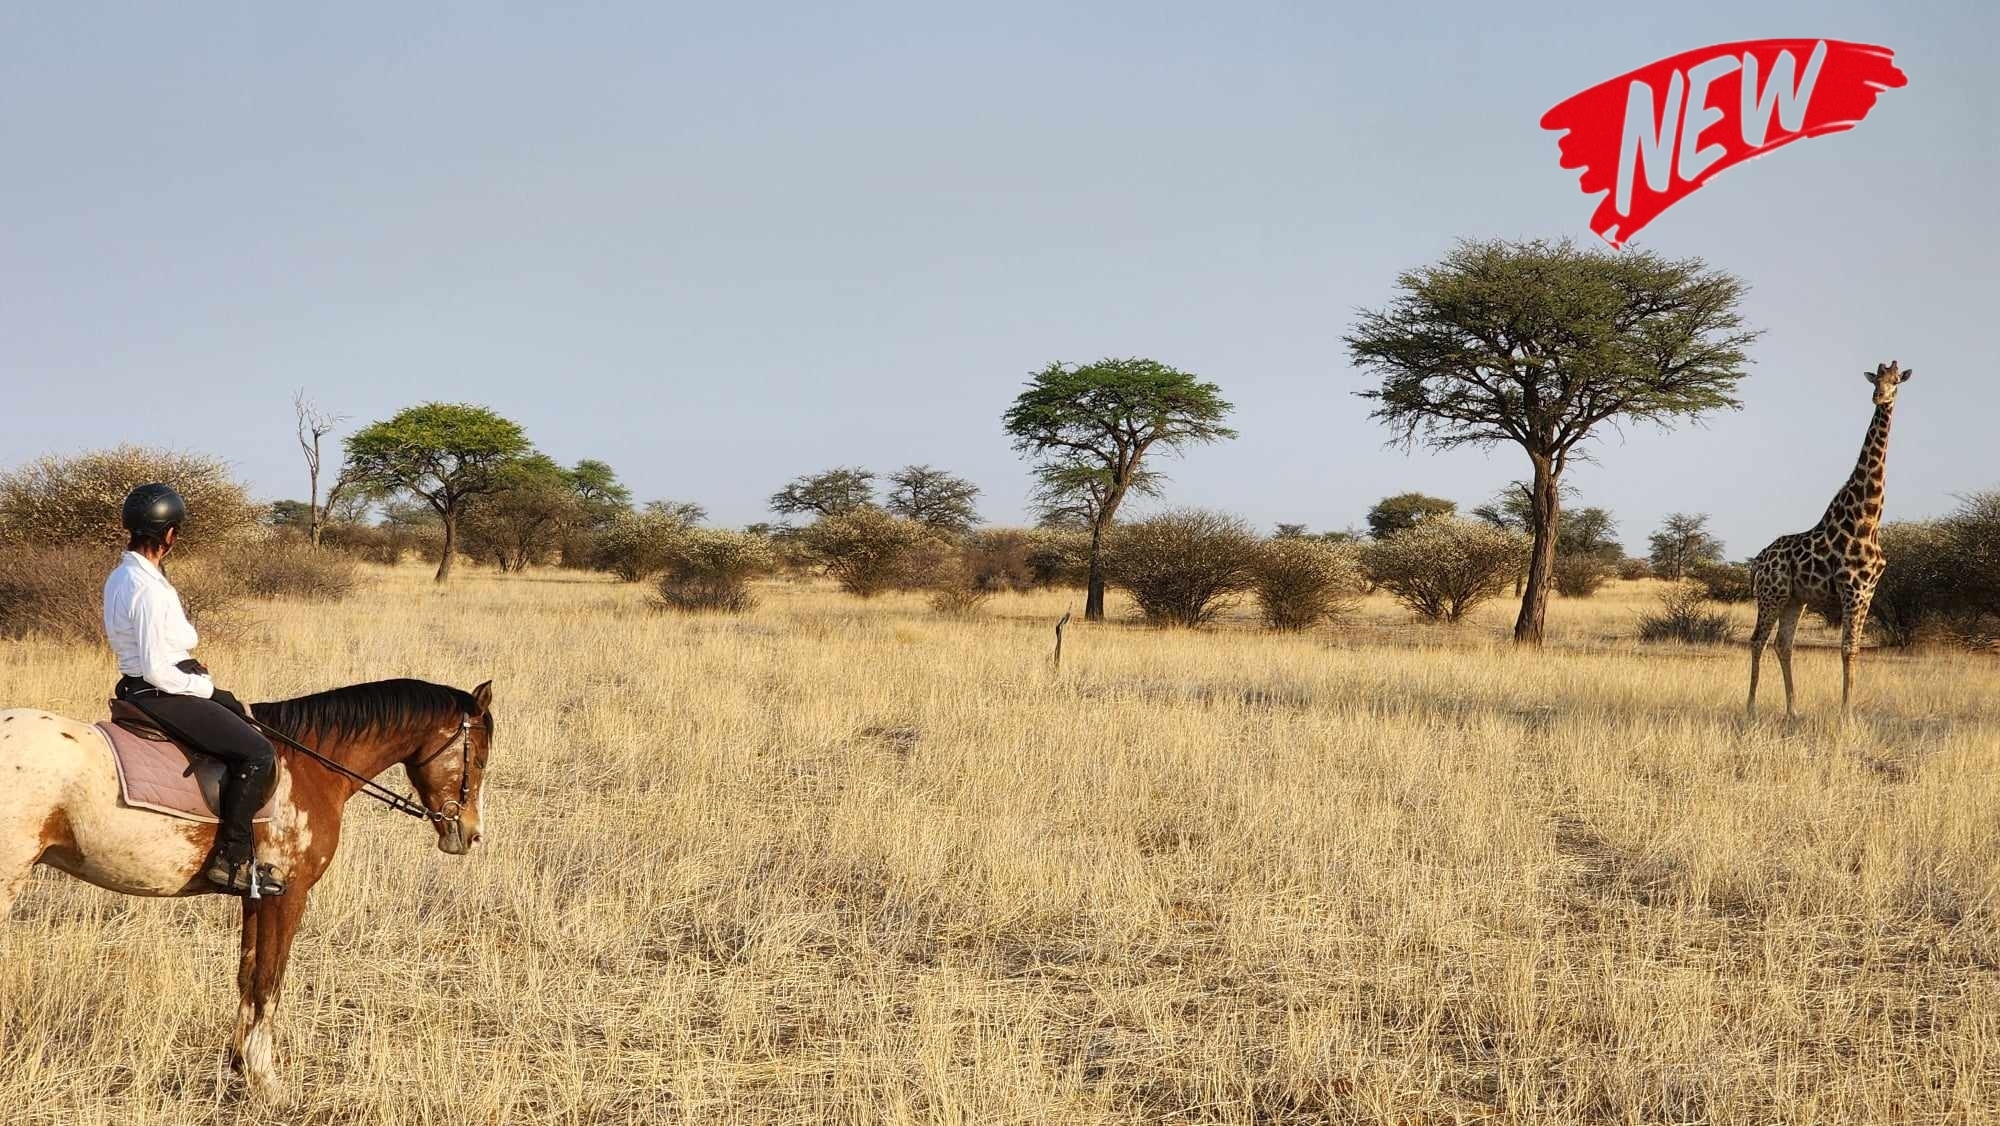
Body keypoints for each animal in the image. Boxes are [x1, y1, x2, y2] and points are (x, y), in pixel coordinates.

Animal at [0, 676, 494, 1101]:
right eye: (480, 759)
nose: (470, 835)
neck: (310, 765)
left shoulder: (258, 895)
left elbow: (247, 974)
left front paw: (240, 1065)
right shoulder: (289, 896)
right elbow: (268, 981)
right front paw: (266, 1079)